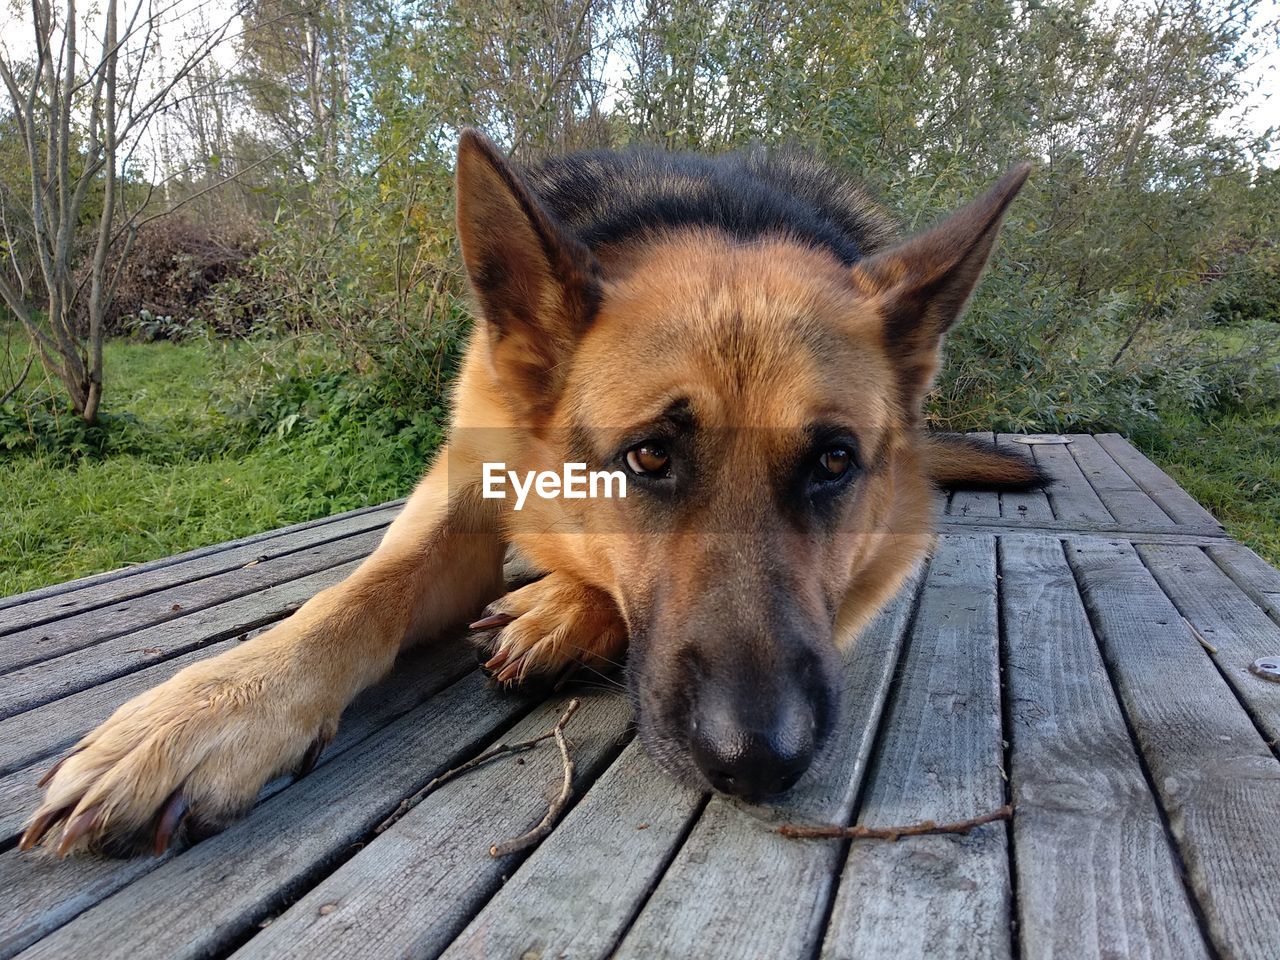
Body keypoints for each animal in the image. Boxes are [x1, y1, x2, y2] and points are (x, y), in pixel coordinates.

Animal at [17, 129, 1039, 855]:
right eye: (649, 457)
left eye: (832, 463)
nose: (759, 759)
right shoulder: (463, 493)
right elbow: (358, 597)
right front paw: (206, 713)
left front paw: (566, 608)